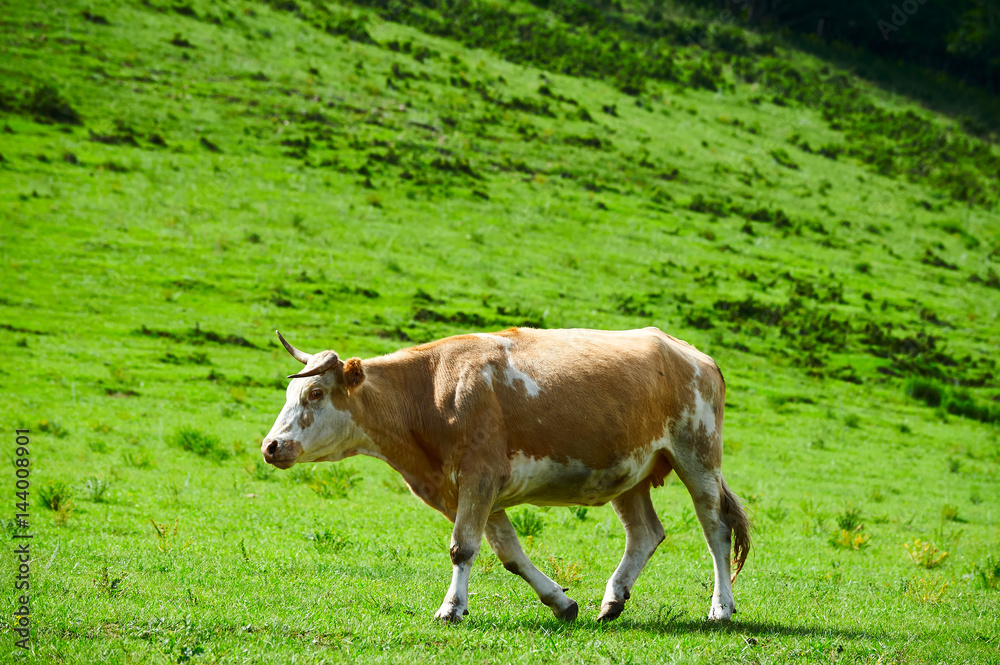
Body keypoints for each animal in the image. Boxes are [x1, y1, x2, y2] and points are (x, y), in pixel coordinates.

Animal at [262, 326, 748, 624]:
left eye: (315, 392)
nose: (271, 446)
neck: (430, 392)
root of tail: (693, 354)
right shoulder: (470, 489)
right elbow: (509, 553)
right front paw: (561, 602)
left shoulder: (480, 474)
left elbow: (462, 548)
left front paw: (451, 609)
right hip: (628, 471)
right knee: (646, 533)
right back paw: (612, 600)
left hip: (698, 455)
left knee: (716, 530)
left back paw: (721, 608)